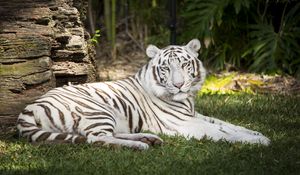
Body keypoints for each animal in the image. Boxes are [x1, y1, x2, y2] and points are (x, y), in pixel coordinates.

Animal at [15, 39, 270, 149]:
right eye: (166, 68)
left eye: (184, 65)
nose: (179, 85)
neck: (187, 100)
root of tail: (26, 111)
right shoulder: (185, 123)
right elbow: (221, 132)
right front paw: (258, 142)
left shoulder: (195, 115)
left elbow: (228, 124)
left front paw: (258, 134)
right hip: (98, 110)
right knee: (97, 138)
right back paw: (142, 146)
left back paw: (149, 138)